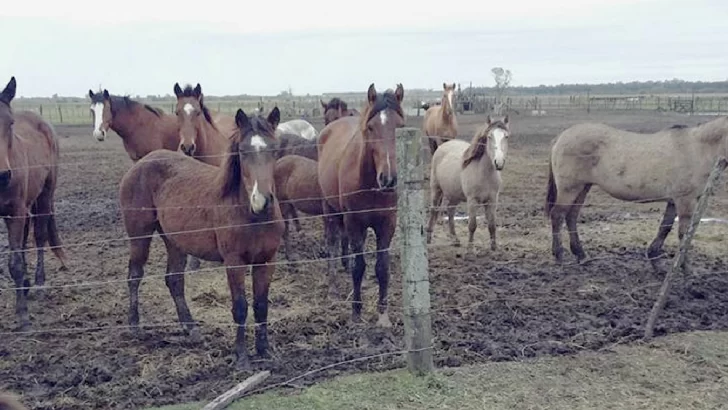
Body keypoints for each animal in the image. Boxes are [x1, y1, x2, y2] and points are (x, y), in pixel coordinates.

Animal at [0, 77, 67, 330]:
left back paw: (38, 283)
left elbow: (15, 263)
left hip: (44, 196)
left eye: (10, 123)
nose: (3, 176)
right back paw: (27, 284)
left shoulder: (15, 211)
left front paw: (22, 316)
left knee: (39, 236)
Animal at [119, 105, 284, 368]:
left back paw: (191, 328)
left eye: (275, 149)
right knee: (134, 276)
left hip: (174, 240)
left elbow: (261, 306)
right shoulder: (234, 263)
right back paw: (134, 325)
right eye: (243, 151)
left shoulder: (267, 261)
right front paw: (241, 356)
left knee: (174, 280)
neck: (252, 216)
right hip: (139, 236)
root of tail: (142, 163)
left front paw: (265, 350)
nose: (263, 201)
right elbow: (240, 306)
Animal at [318, 83, 406, 326]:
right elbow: (358, 267)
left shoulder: (387, 223)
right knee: (332, 243)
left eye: (400, 126)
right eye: (371, 128)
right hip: (329, 209)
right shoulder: (354, 222)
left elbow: (382, 268)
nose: (388, 179)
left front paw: (383, 315)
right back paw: (332, 288)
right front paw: (356, 312)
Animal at [424, 113, 510, 251]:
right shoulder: (472, 201)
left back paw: (455, 239)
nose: (499, 162)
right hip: (436, 190)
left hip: (454, 194)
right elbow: (472, 225)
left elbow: (492, 224)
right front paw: (470, 247)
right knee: (434, 210)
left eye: (506, 136)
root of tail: (444, 146)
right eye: (489, 136)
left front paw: (494, 247)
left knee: (450, 211)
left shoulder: (492, 200)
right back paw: (428, 238)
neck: (483, 173)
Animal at [544, 116, 728, 270]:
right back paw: (560, 256)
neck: (697, 149)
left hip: (583, 188)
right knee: (558, 215)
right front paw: (685, 268)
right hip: (570, 189)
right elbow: (684, 234)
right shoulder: (685, 201)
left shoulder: (673, 201)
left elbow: (665, 228)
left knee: (571, 217)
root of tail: (561, 137)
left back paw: (581, 255)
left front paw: (655, 260)